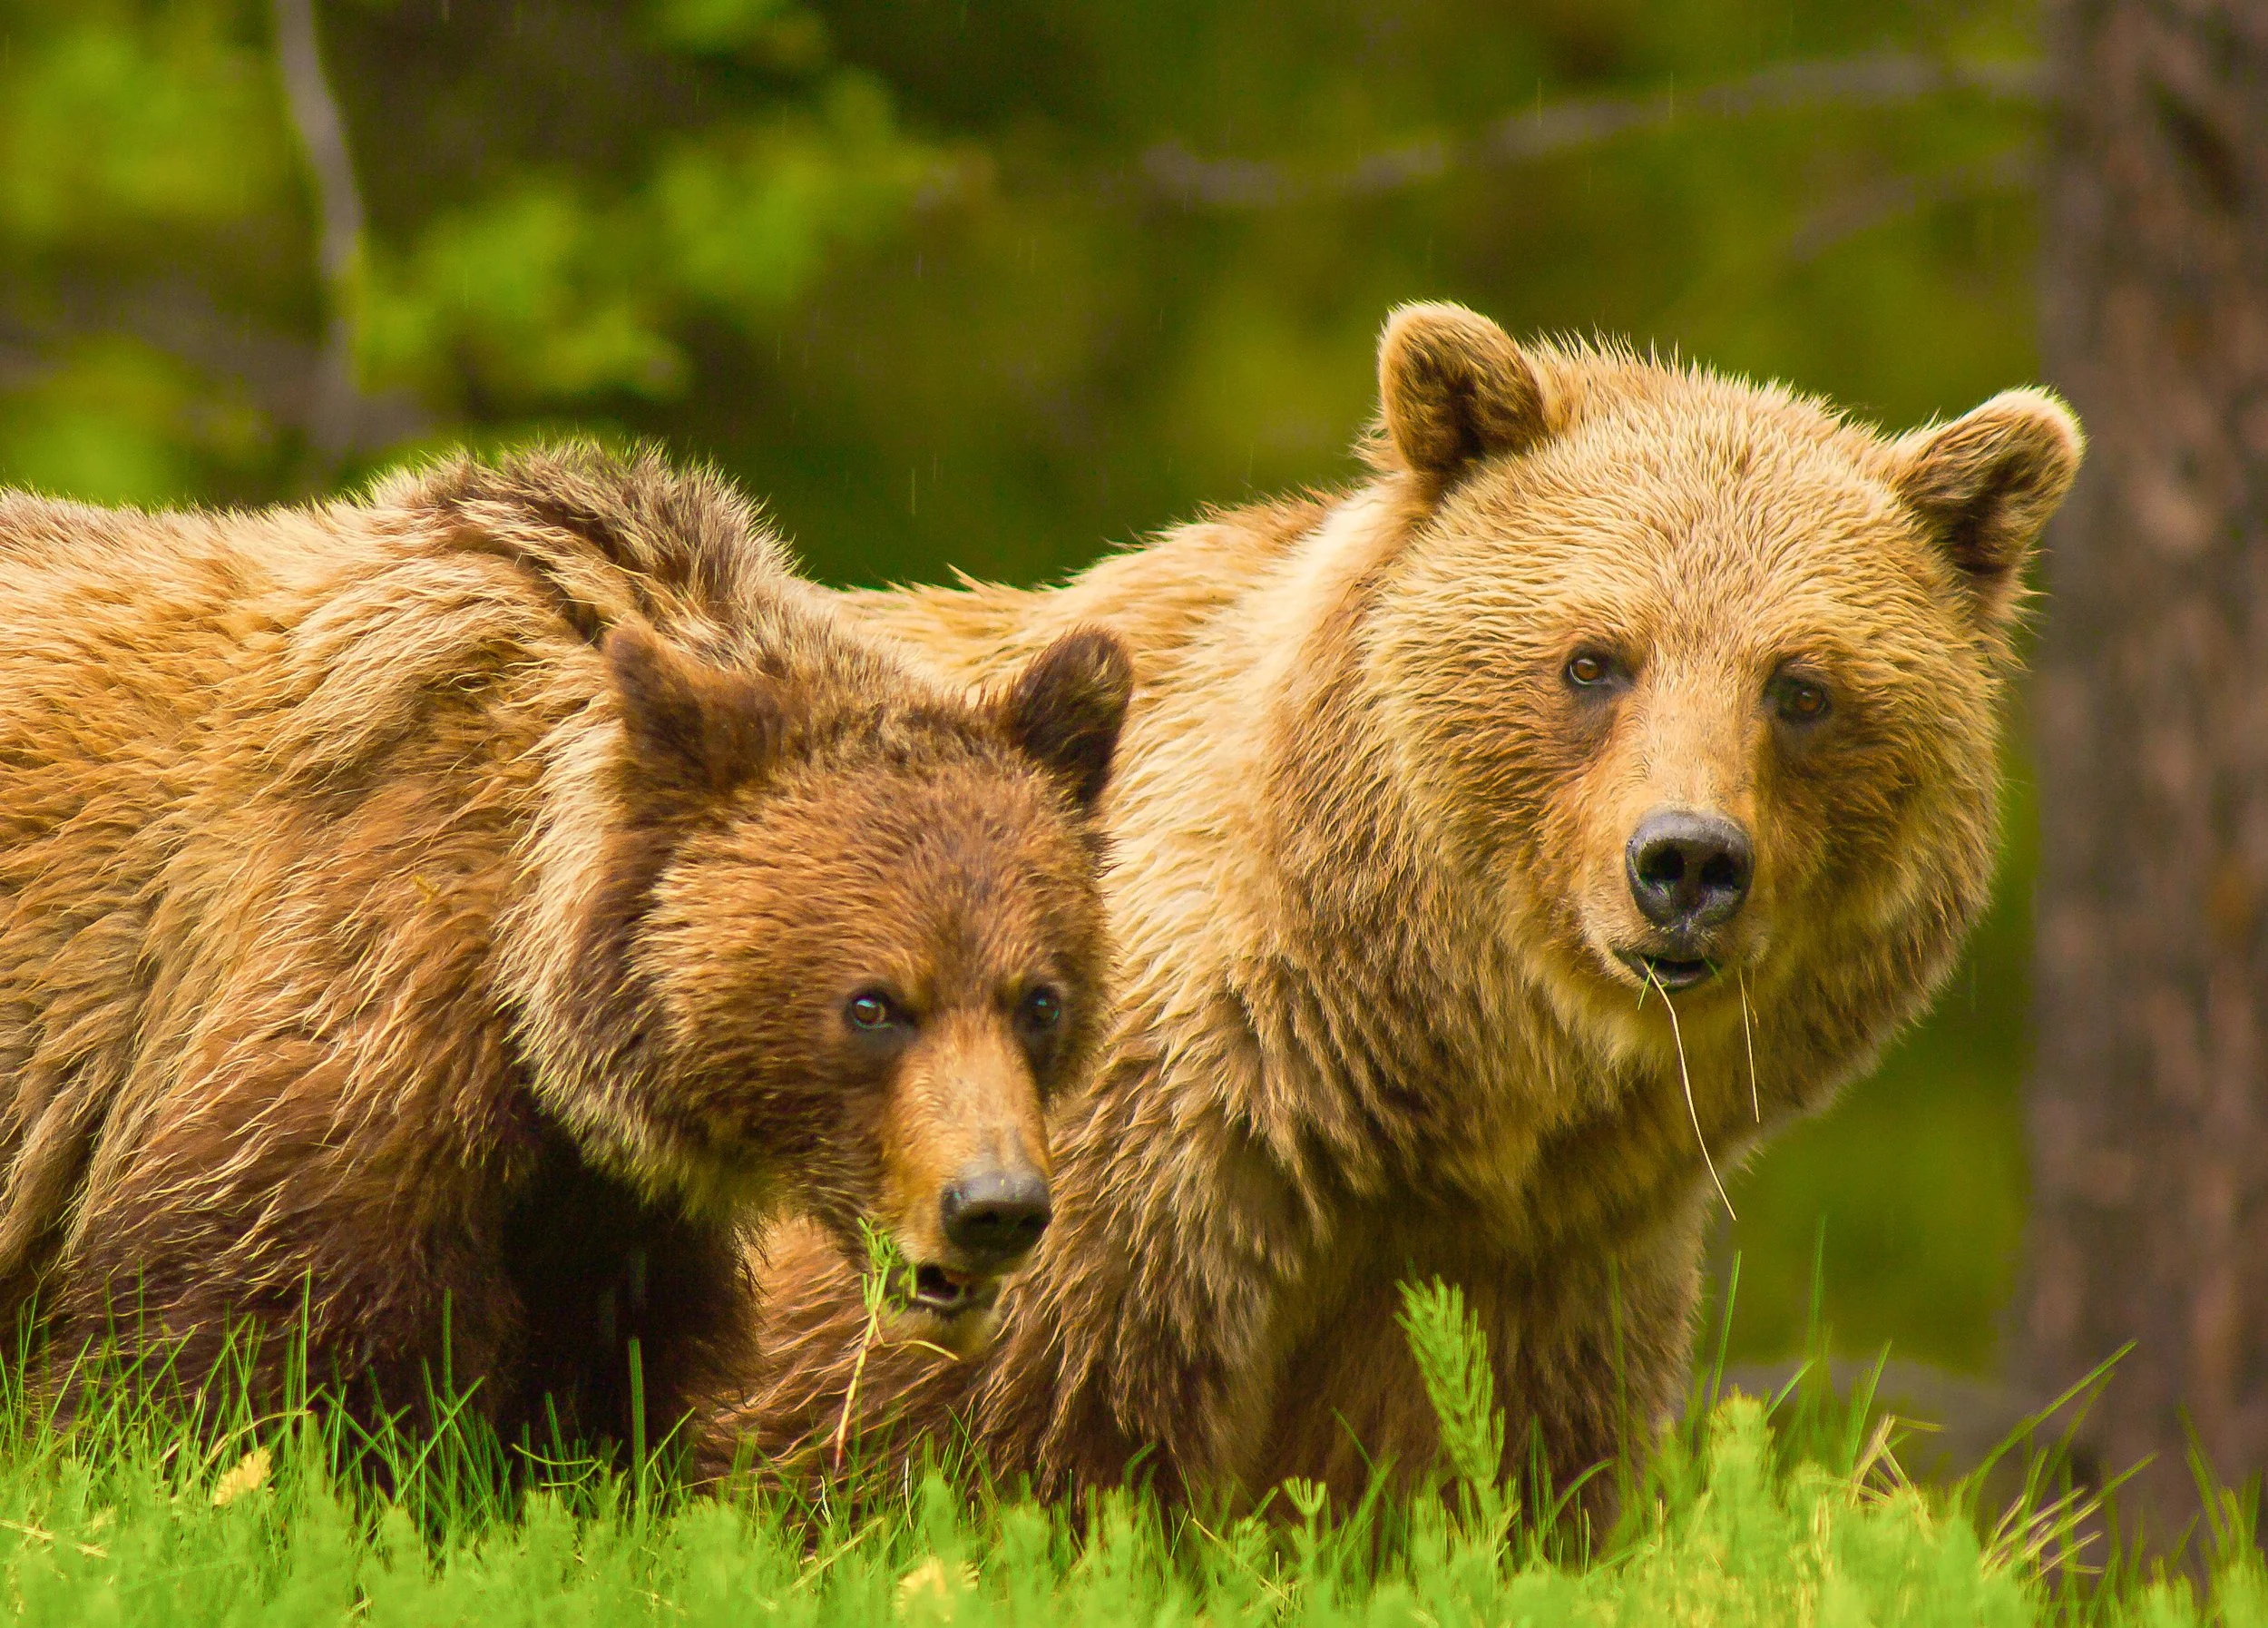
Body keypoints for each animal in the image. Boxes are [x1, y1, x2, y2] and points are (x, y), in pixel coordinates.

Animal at [0, 443, 1132, 1457]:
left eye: (1040, 1000)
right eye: (873, 1004)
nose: (994, 1207)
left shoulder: (599, 1217)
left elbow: (583, 1399)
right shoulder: (344, 998)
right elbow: (233, 1345)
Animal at [690, 302, 2083, 1517]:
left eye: (1802, 687)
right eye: (1593, 657)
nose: (1686, 861)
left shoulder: (1533, 1267)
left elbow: (1472, 1488)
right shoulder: (1081, 1200)